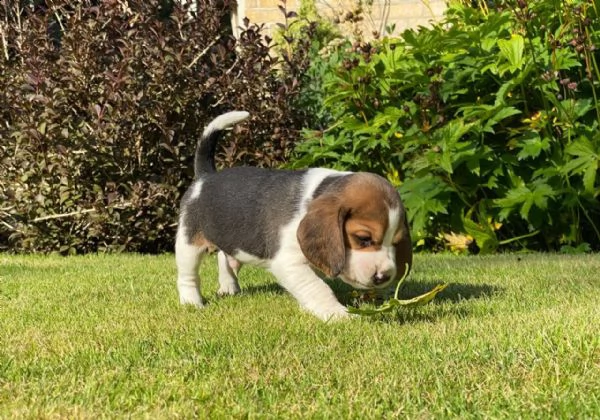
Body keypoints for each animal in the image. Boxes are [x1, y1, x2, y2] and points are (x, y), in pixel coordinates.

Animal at [176, 110, 412, 320]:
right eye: (363, 239)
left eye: (396, 242)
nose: (385, 276)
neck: (316, 194)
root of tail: (206, 176)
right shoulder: (288, 261)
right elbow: (317, 287)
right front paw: (338, 314)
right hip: (188, 242)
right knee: (188, 275)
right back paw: (191, 302)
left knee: (225, 258)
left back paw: (228, 286)